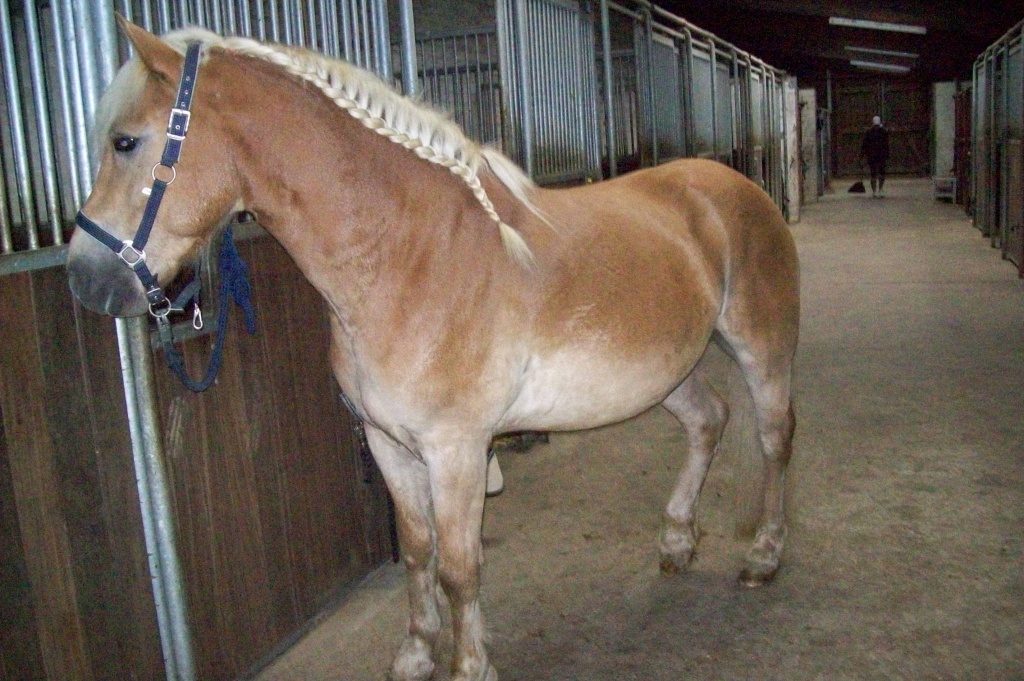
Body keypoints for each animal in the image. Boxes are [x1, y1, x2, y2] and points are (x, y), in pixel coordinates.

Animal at [67, 20, 800, 681]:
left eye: (125, 141)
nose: (83, 278)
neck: (408, 254)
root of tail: (729, 184)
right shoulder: (388, 442)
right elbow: (418, 553)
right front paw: (417, 653)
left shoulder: (457, 449)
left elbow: (459, 566)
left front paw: (470, 664)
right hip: (668, 369)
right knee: (708, 419)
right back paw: (676, 539)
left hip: (760, 347)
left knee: (773, 435)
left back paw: (764, 556)